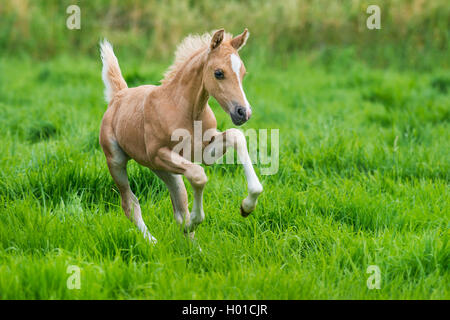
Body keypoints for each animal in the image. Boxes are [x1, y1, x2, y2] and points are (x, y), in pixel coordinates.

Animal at [98, 28, 260, 242]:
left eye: (243, 72)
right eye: (219, 73)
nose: (243, 112)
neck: (187, 111)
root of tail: (118, 96)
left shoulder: (204, 153)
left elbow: (236, 136)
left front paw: (246, 207)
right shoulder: (158, 154)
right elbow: (199, 176)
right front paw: (195, 221)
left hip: (166, 172)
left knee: (179, 209)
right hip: (117, 162)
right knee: (130, 204)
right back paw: (153, 243)